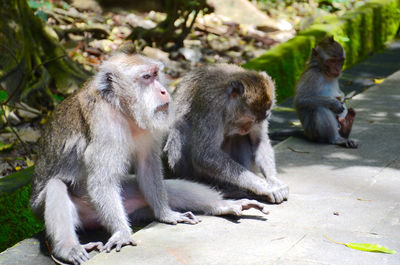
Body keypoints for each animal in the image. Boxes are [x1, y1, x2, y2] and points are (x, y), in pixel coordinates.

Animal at [30, 53, 268, 264]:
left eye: (155, 74)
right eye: (146, 77)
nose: (163, 91)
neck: (120, 107)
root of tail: (94, 221)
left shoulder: (147, 123)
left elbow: (148, 167)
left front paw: (166, 215)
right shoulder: (105, 125)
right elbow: (101, 181)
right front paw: (122, 233)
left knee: (168, 187)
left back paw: (224, 205)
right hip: (51, 209)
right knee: (56, 185)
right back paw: (67, 249)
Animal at [164, 63, 290, 203]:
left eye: (258, 121)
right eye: (249, 119)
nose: (246, 129)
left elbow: (259, 141)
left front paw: (274, 181)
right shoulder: (210, 105)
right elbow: (206, 154)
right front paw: (261, 185)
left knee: (239, 137)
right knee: (180, 125)